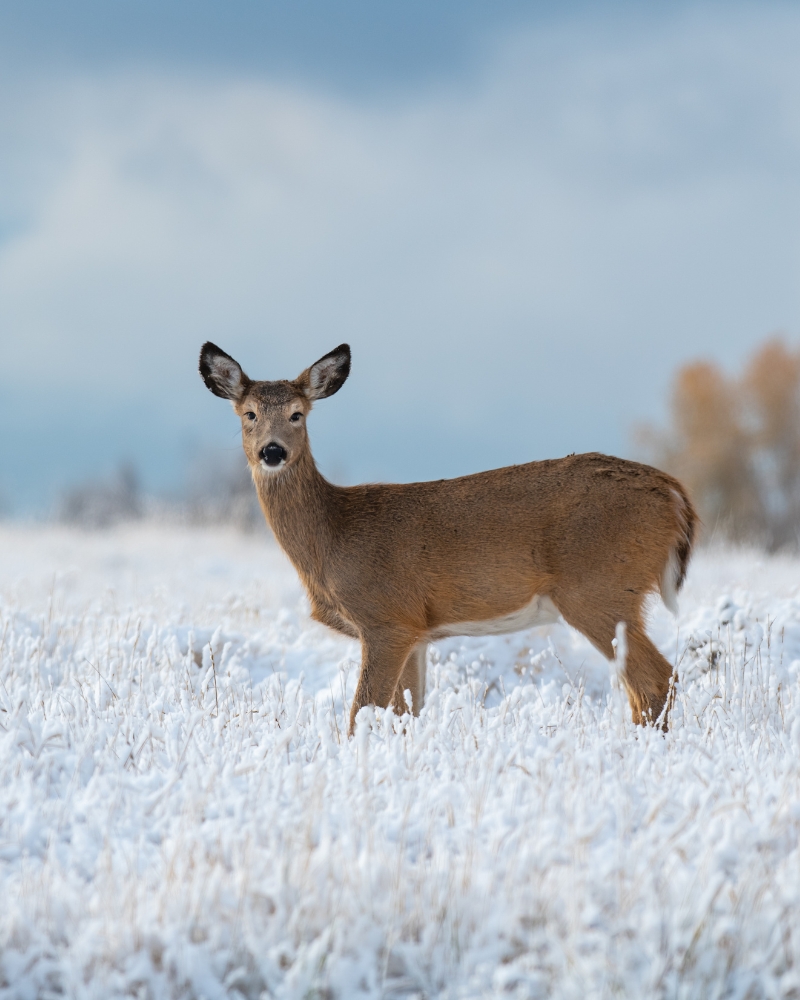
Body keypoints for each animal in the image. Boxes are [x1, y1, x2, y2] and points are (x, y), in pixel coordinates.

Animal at [199, 341, 696, 733]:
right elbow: (405, 714)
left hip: (599, 589)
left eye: (298, 414)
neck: (333, 535)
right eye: (249, 414)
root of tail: (674, 492)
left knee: (655, 680)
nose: (273, 451)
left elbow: (362, 713)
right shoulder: (416, 631)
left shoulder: (386, 618)